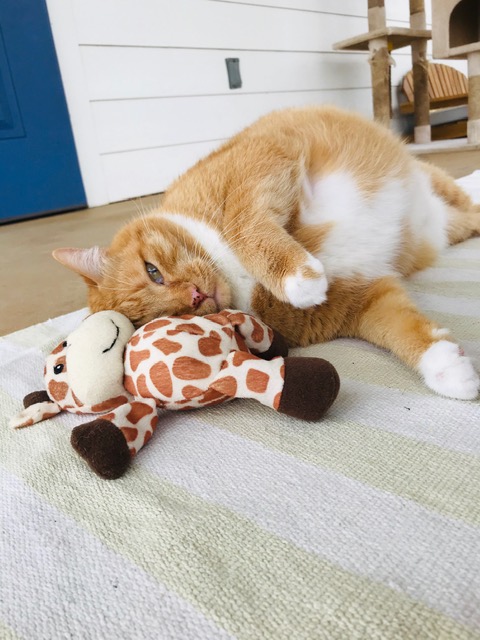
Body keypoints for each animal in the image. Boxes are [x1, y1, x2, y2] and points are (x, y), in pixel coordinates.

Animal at [54, 107, 480, 402]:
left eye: (152, 270)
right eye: (164, 318)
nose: (195, 295)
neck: (234, 275)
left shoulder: (262, 160)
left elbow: (243, 222)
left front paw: (297, 276)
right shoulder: (360, 301)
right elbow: (400, 329)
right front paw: (446, 367)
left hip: (437, 183)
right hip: (448, 227)